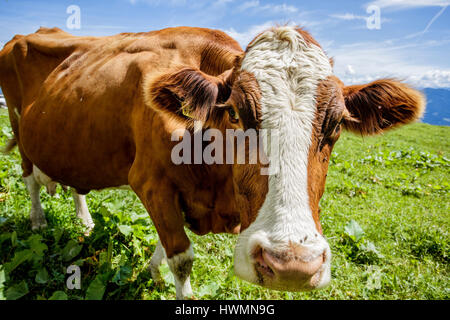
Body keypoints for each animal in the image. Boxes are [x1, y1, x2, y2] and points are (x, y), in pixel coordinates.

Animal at [0, 26, 424, 298]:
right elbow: (181, 257)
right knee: (29, 177)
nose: (292, 266)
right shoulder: (150, 182)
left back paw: (85, 220)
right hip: (19, 126)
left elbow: (164, 243)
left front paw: (152, 271)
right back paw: (37, 221)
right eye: (234, 112)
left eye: (335, 124)